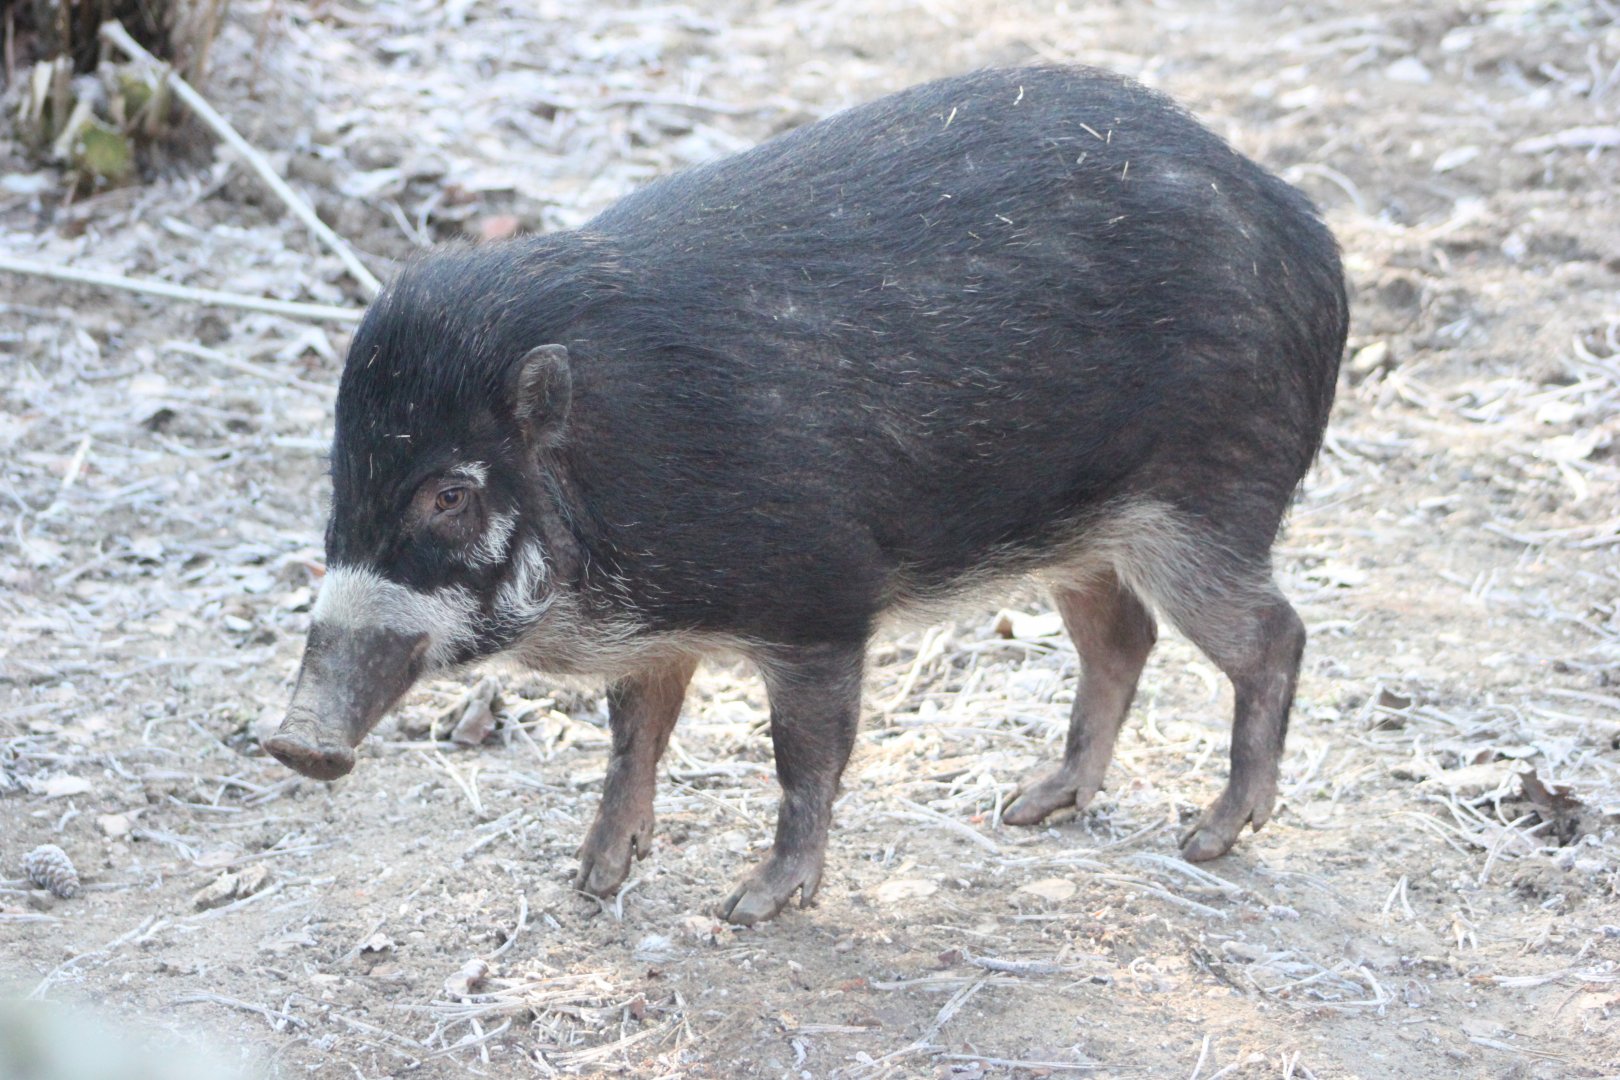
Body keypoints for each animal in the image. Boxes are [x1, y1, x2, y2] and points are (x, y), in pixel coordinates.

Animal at [265, 64, 1348, 925]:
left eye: (450, 497)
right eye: (343, 473)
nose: (292, 742)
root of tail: (1301, 228)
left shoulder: (821, 604)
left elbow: (804, 755)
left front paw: (750, 906)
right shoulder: (656, 632)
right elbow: (633, 738)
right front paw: (593, 881)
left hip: (1206, 503)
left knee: (1274, 636)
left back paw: (1208, 837)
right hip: (1083, 531)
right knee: (1122, 639)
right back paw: (1030, 806)